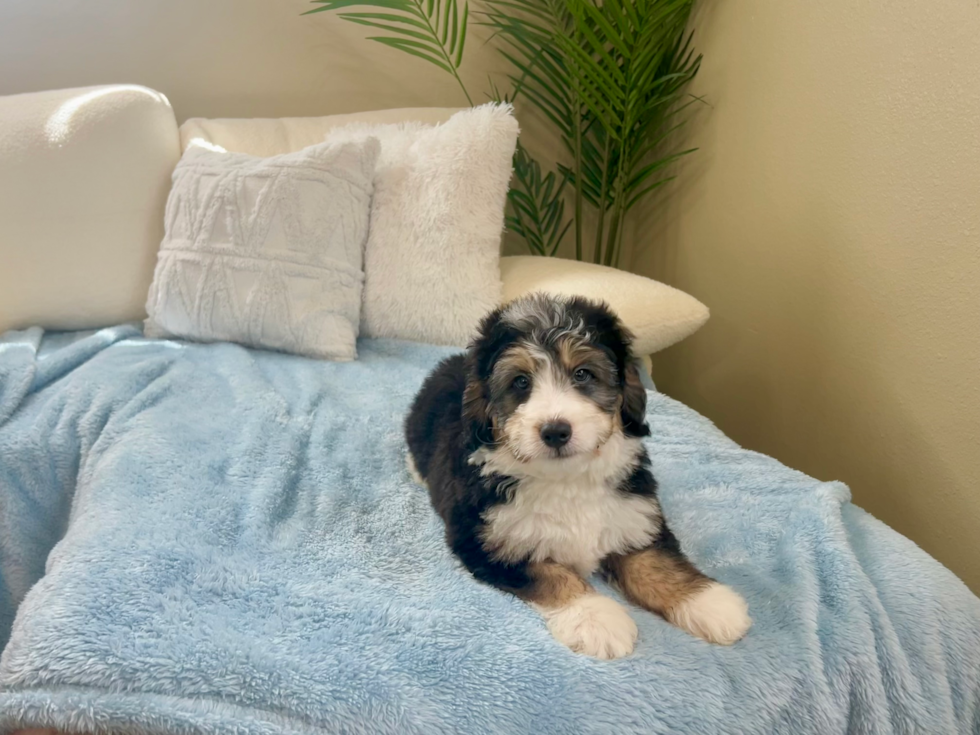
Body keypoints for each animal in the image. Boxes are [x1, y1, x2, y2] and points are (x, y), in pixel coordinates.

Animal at [406, 294, 752, 660]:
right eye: (521, 382)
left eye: (583, 374)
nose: (555, 431)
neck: (567, 479)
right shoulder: (487, 540)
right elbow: (551, 574)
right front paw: (594, 618)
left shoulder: (635, 515)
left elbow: (655, 561)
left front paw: (708, 604)